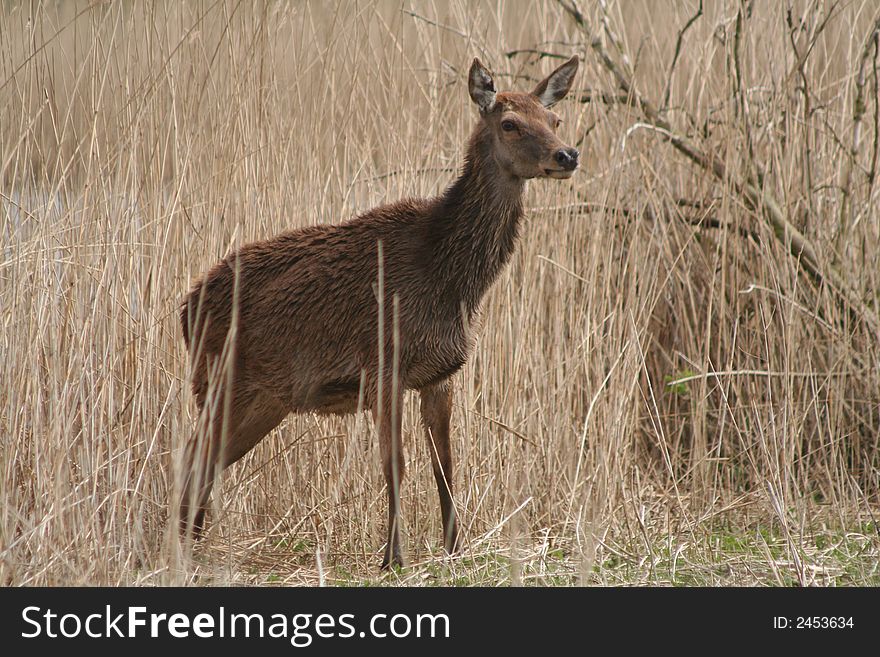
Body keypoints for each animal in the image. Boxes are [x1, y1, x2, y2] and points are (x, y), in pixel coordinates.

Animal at [178, 53, 576, 568]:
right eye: (509, 123)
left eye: (554, 119)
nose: (567, 155)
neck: (452, 283)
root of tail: (183, 310)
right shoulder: (384, 364)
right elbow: (396, 465)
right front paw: (393, 558)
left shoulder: (440, 373)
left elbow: (445, 464)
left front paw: (454, 549)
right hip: (218, 380)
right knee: (192, 455)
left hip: (265, 399)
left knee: (205, 458)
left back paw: (188, 543)